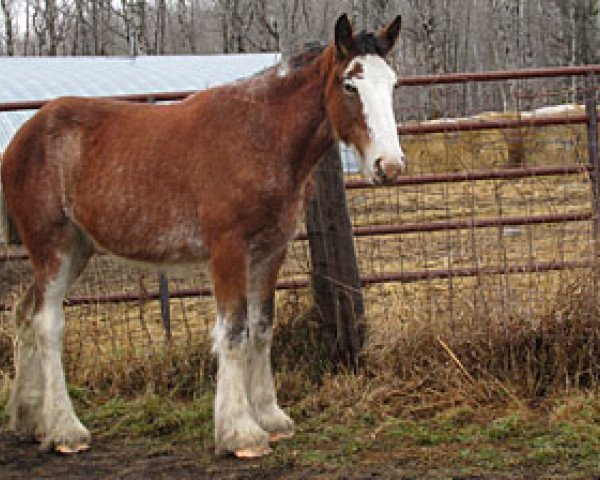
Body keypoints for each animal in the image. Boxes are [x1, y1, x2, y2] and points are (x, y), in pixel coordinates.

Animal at [0, 14, 406, 458]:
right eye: (350, 85)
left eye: (392, 84)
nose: (390, 166)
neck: (260, 136)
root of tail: (22, 137)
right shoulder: (228, 250)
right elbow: (233, 332)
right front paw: (241, 433)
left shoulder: (270, 252)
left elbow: (261, 328)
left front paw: (271, 418)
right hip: (52, 248)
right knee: (47, 323)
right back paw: (65, 430)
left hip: (77, 249)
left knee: (24, 314)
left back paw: (28, 421)